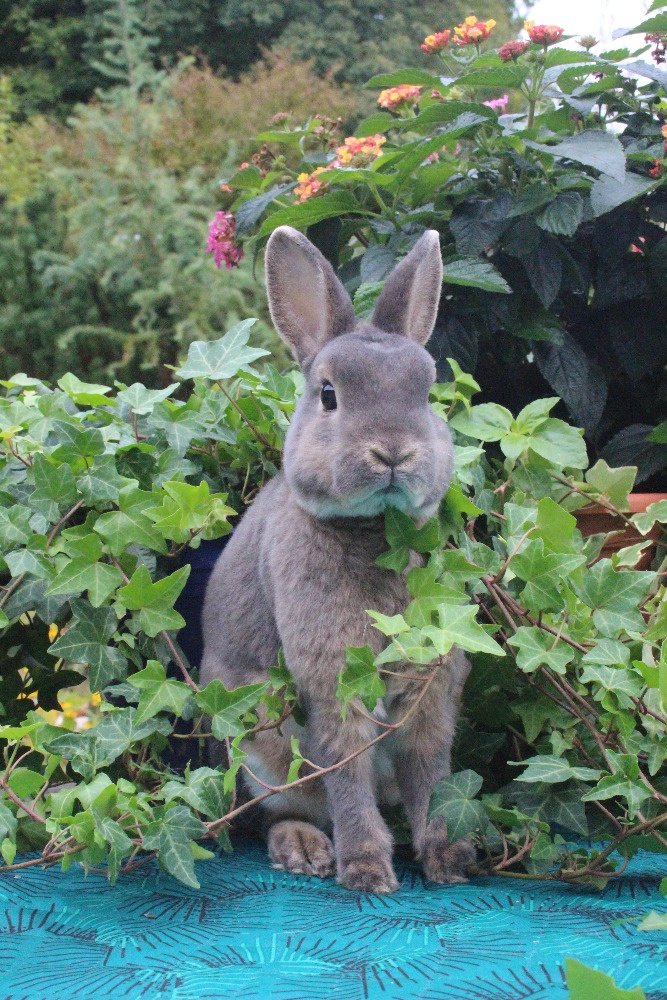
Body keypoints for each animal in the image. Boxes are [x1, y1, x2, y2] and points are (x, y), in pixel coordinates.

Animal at [202, 227, 474, 892]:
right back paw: (305, 850)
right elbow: (346, 774)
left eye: (427, 395)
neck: (376, 530)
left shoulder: (430, 689)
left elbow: (431, 773)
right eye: (329, 395)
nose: (393, 452)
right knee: (271, 815)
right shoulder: (330, 683)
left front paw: (448, 859)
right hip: (257, 751)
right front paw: (368, 870)